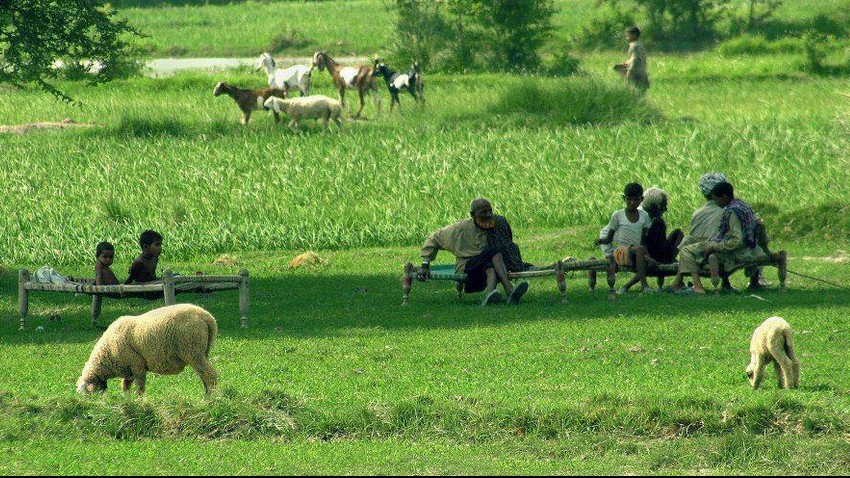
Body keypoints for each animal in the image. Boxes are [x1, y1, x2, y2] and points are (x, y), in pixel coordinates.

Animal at [77, 302, 219, 396]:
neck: (107, 355)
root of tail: (207, 317)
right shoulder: (128, 369)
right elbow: (125, 386)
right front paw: (126, 399)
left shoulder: (137, 364)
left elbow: (140, 385)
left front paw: (139, 400)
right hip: (202, 352)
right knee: (204, 374)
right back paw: (207, 394)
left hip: (192, 351)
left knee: (210, 374)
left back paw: (210, 399)